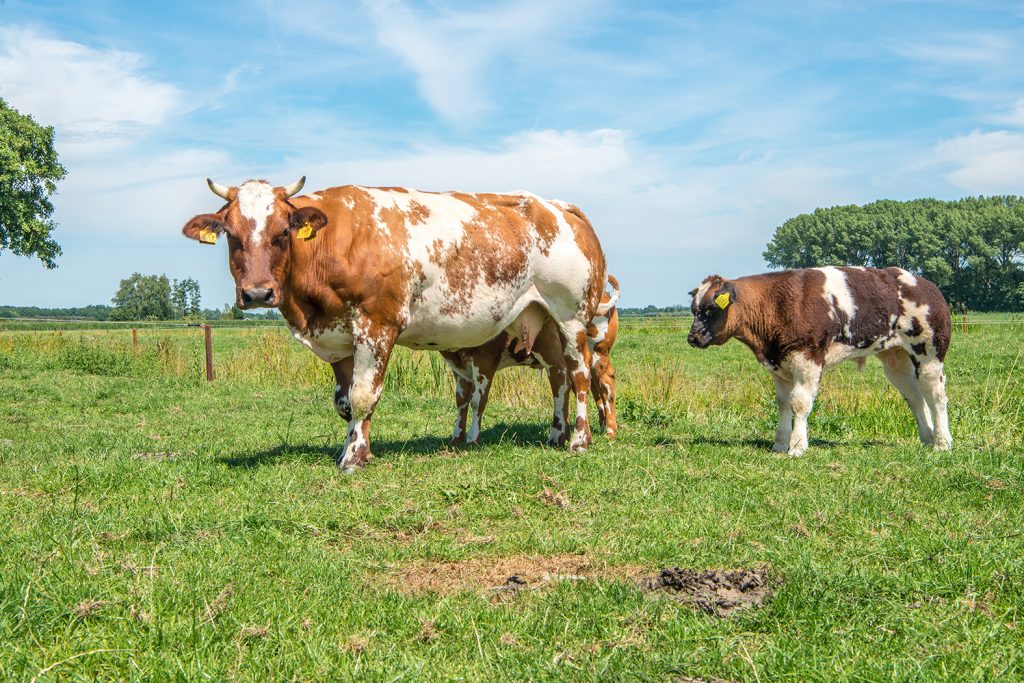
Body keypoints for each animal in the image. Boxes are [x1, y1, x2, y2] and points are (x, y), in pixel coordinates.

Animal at [442, 274, 618, 446]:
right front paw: (456, 438)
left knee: (605, 383)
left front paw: (472, 439)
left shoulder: (485, 359)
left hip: (598, 351)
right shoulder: (458, 369)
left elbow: (477, 400)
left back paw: (609, 431)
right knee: (589, 386)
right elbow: (461, 401)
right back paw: (597, 428)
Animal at [688, 266, 950, 454]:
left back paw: (942, 443)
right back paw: (927, 438)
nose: (692, 338)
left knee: (935, 394)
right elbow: (783, 403)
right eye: (693, 309)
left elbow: (799, 403)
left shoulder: (808, 361)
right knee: (915, 396)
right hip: (895, 359)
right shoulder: (778, 366)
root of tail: (926, 284)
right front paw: (779, 444)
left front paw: (797, 446)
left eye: (710, 308)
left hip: (929, 353)